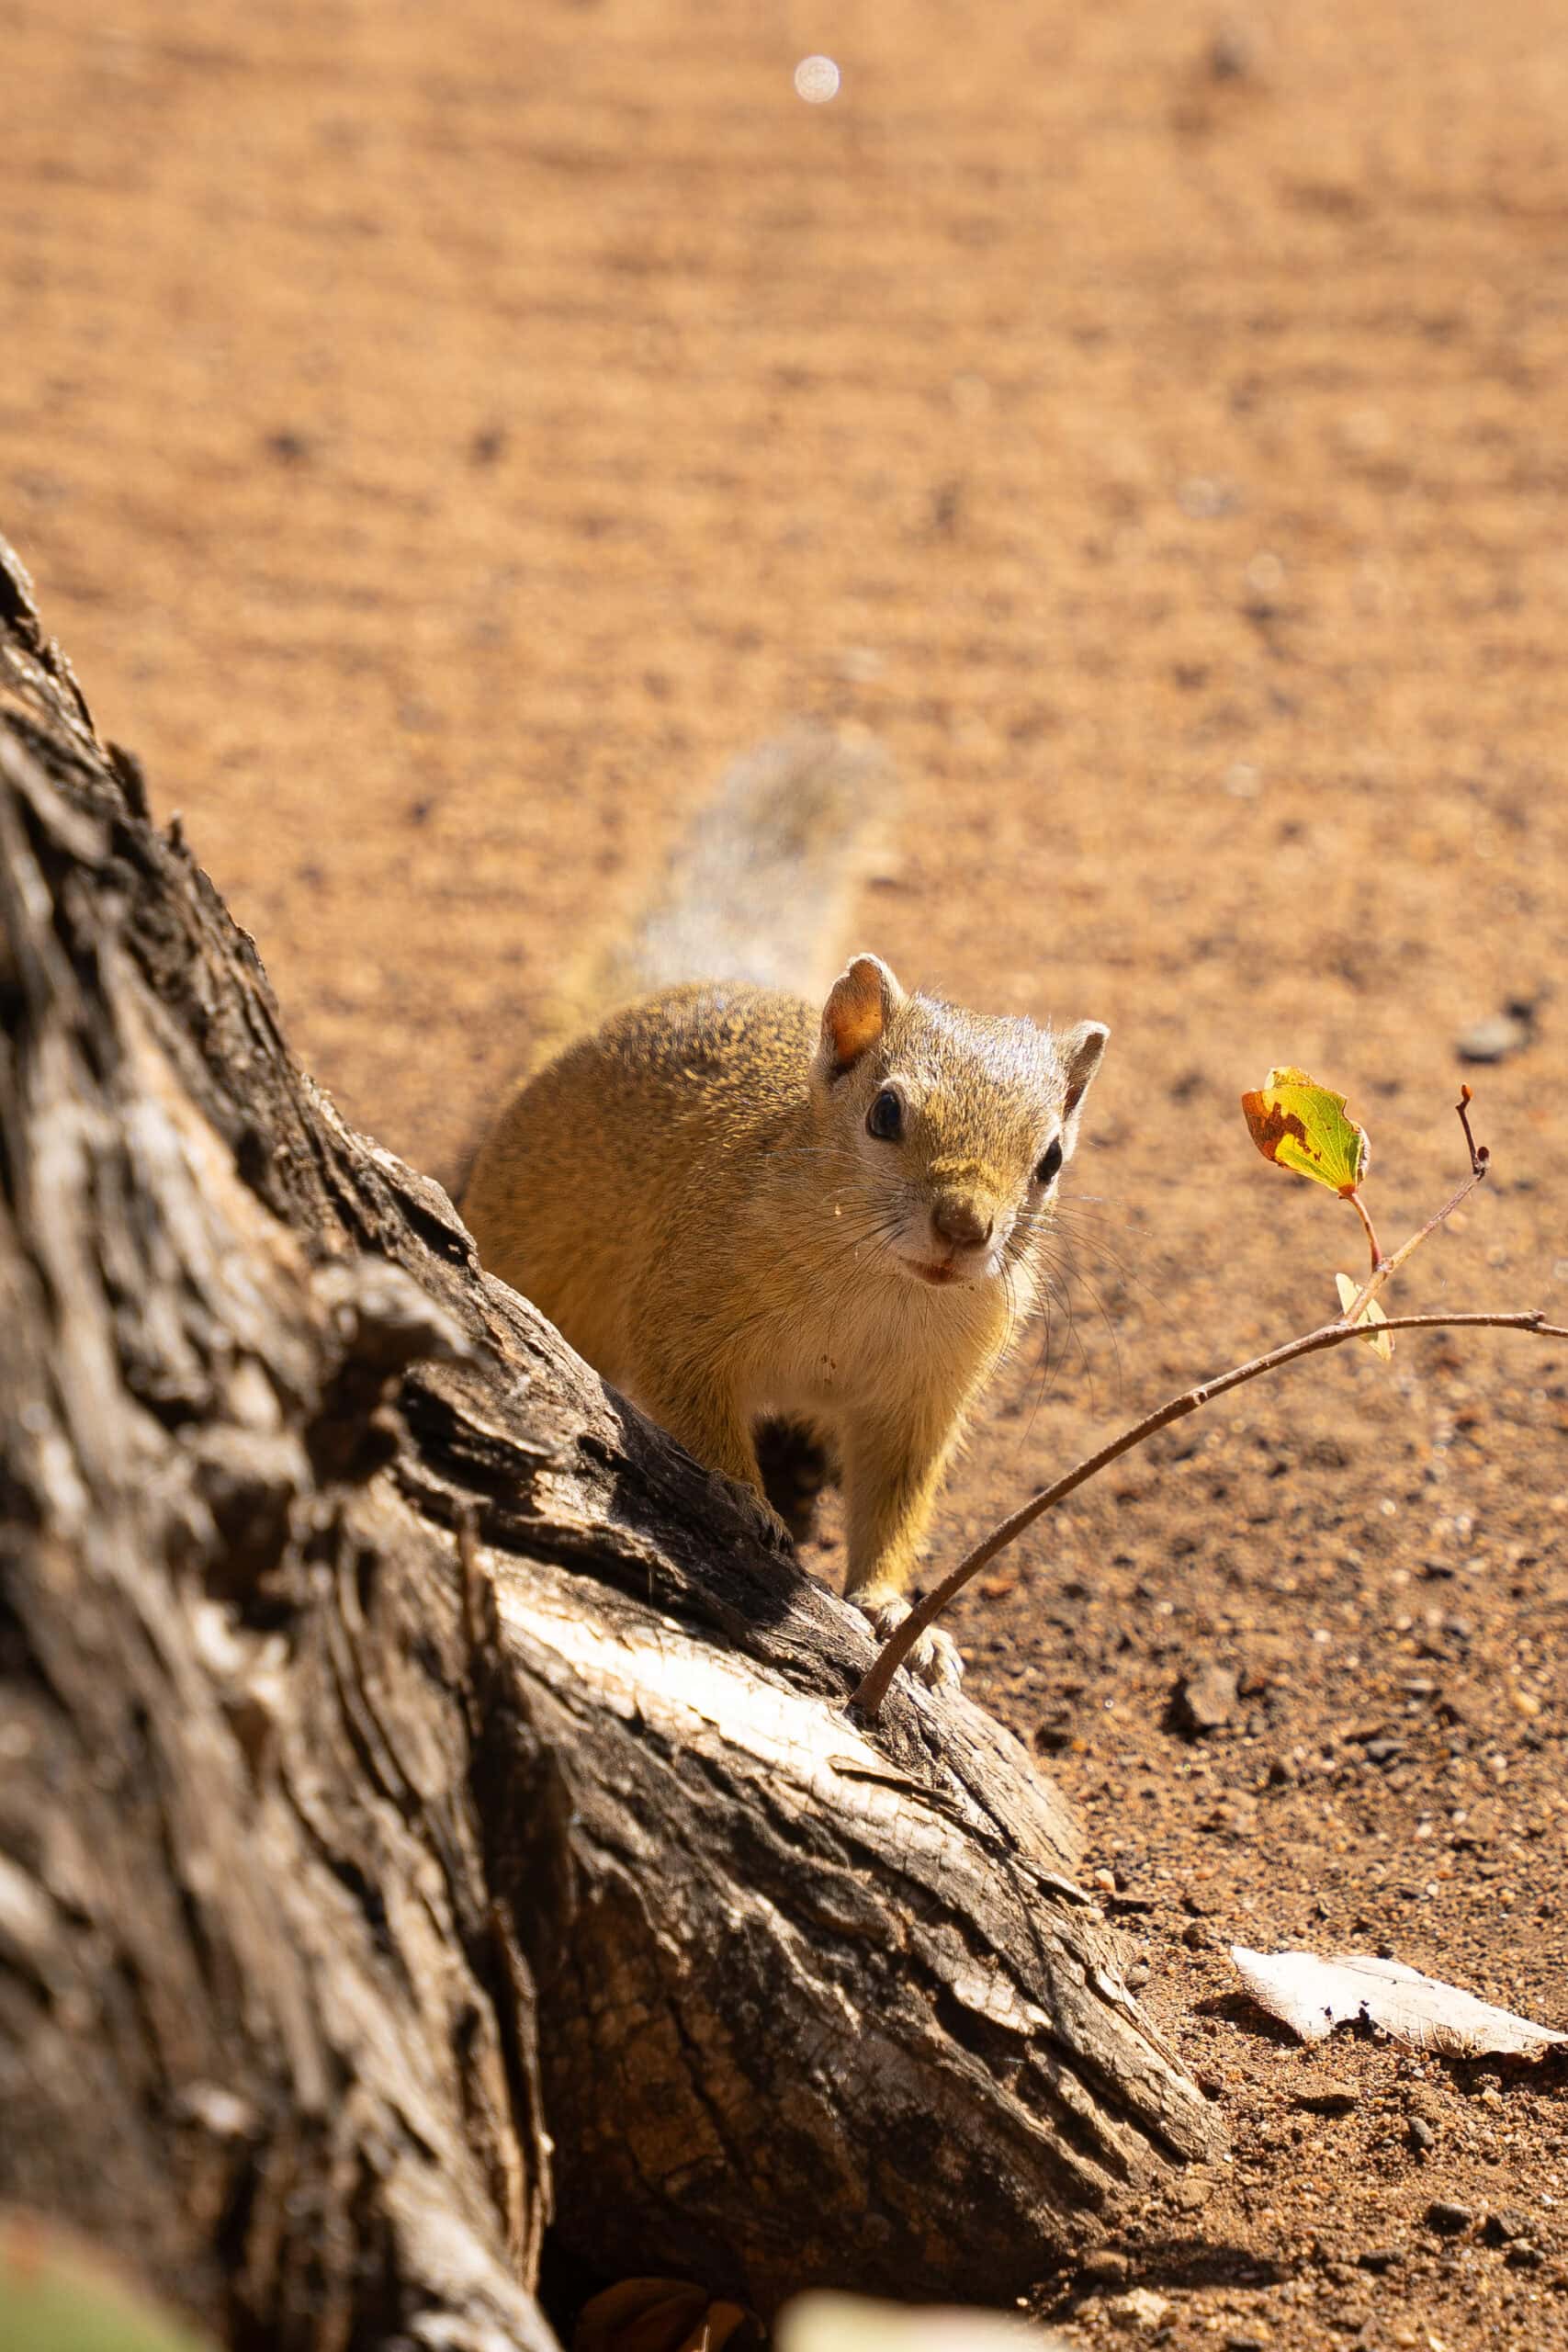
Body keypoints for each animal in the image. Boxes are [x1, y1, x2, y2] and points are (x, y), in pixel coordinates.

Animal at [462, 730, 1108, 1688]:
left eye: (1051, 1159)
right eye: (885, 1113)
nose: (963, 1230)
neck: (881, 1285)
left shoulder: (920, 1397)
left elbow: (895, 1500)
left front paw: (895, 1613)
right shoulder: (687, 1307)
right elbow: (692, 1408)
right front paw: (746, 1503)